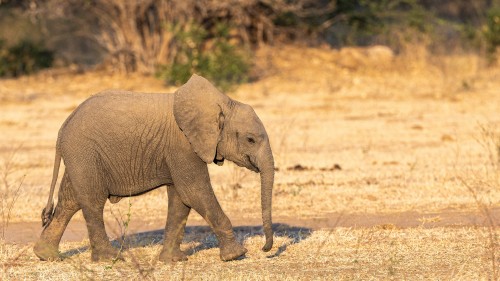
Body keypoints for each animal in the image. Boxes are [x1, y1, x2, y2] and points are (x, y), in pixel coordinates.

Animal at [33, 74, 276, 260]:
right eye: (250, 140)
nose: (265, 249)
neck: (222, 103)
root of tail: (64, 125)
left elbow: (181, 200)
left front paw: (173, 261)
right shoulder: (183, 146)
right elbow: (195, 192)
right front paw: (236, 255)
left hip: (80, 156)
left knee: (69, 200)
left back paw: (45, 255)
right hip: (84, 152)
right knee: (92, 202)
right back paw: (110, 259)